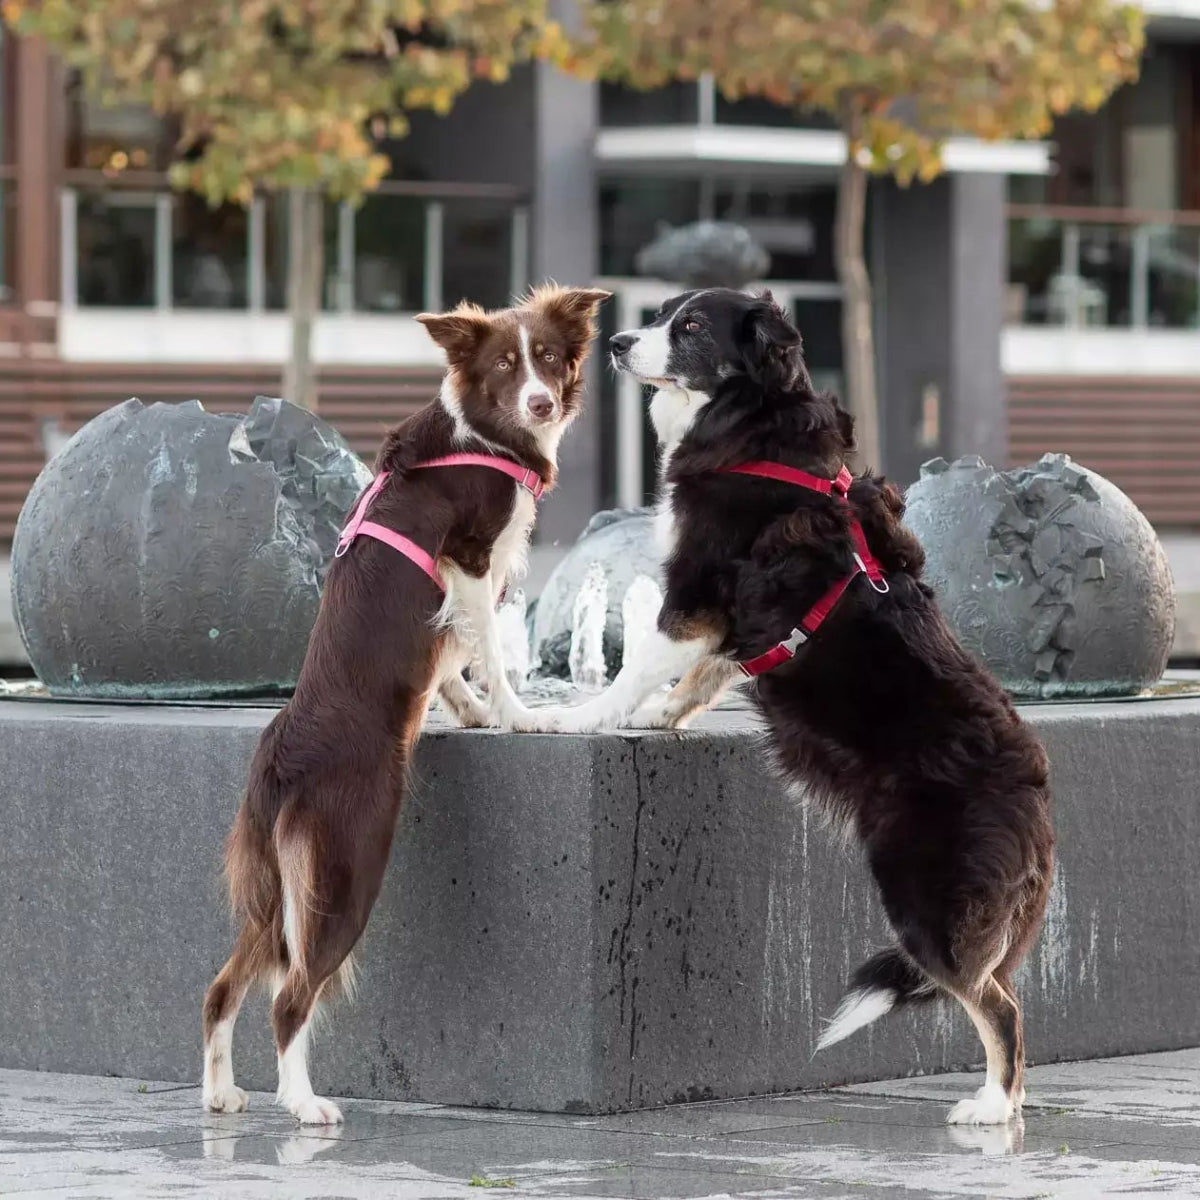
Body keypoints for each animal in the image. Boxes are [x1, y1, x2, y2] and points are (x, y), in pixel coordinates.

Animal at [201, 285, 609, 1118]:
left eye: (550, 356)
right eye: (504, 366)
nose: (543, 401)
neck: (480, 432)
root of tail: (283, 756)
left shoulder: (457, 586)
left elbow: (449, 657)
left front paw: (472, 712)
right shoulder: (474, 557)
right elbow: (487, 649)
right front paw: (520, 717)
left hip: (273, 892)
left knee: (222, 988)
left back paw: (221, 1093)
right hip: (344, 870)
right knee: (289, 998)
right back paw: (304, 1105)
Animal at [530, 288, 1056, 1123]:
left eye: (690, 327)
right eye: (661, 312)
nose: (615, 343)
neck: (752, 425)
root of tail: (1035, 795)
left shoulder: (695, 595)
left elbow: (634, 669)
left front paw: (579, 718)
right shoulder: (728, 624)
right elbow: (698, 679)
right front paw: (658, 717)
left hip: (928, 903)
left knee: (997, 1005)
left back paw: (992, 1108)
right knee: (997, 991)